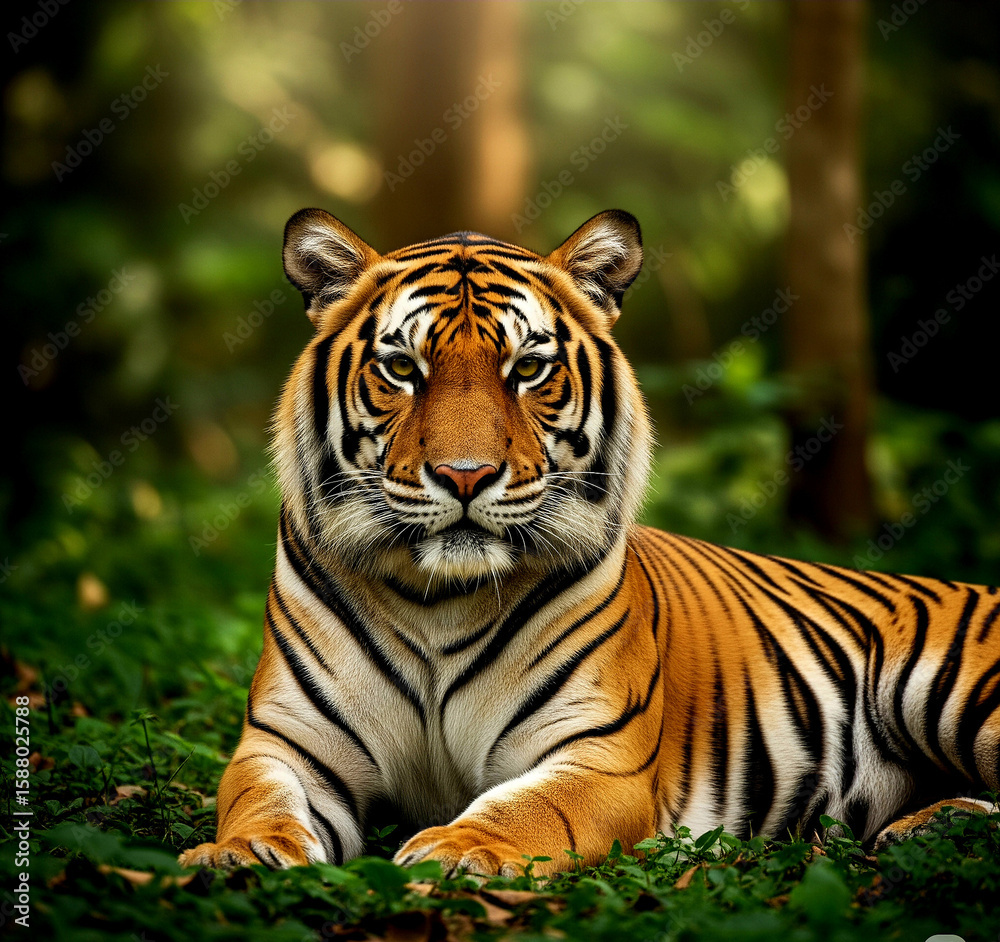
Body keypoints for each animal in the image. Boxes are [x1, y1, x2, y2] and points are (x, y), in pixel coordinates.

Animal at [179, 208, 1000, 877]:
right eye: (402, 368)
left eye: (529, 369)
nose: (466, 475)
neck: (437, 597)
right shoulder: (287, 743)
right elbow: (260, 800)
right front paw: (239, 854)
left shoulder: (598, 755)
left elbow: (524, 809)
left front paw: (459, 848)